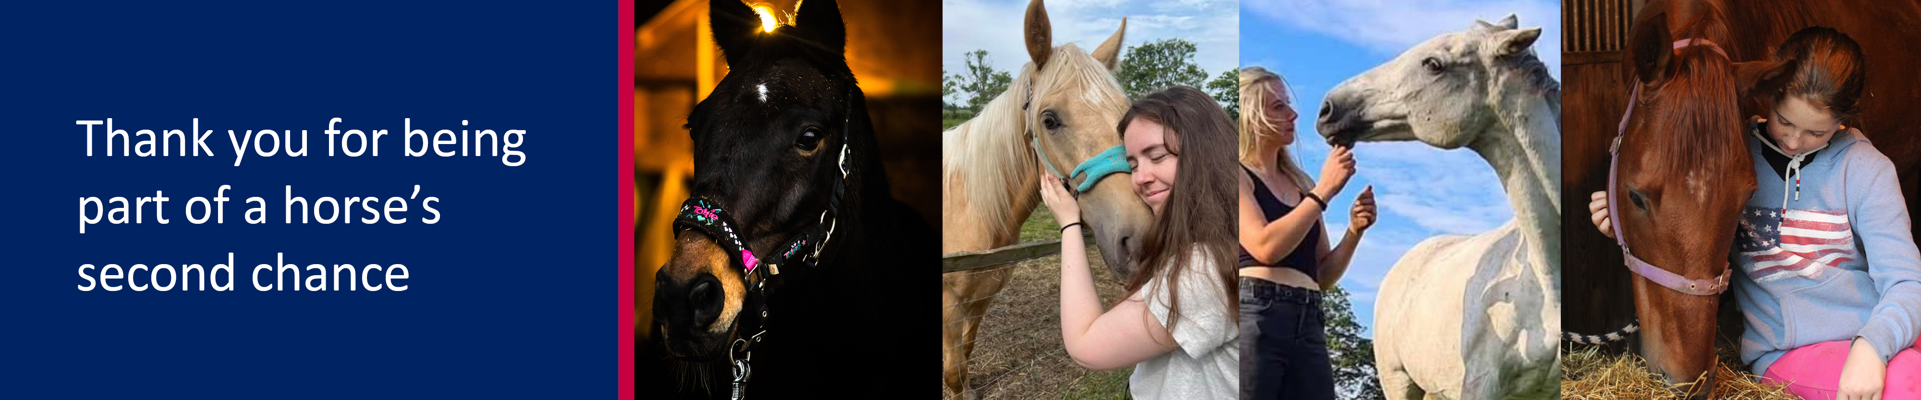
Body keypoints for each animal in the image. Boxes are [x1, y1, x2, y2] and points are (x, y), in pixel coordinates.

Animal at [939, 0, 1151, 398]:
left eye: (1124, 116)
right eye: (1049, 120)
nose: (1140, 239)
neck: (968, 207)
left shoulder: (980, 299)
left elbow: (966, 352)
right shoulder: (949, 307)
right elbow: (954, 371)